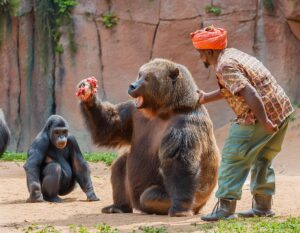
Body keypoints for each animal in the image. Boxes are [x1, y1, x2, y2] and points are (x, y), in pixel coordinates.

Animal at [76, 58, 219, 217]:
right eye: (140, 74)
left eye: (148, 78)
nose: (132, 86)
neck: (164, 108)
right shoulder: (134, 112)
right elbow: (109, 126)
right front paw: (88, 93)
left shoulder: (184, 124)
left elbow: (179, 163)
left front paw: (179, 208)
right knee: (121, 164)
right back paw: (118, 206)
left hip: (197, 198)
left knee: (150, 196)